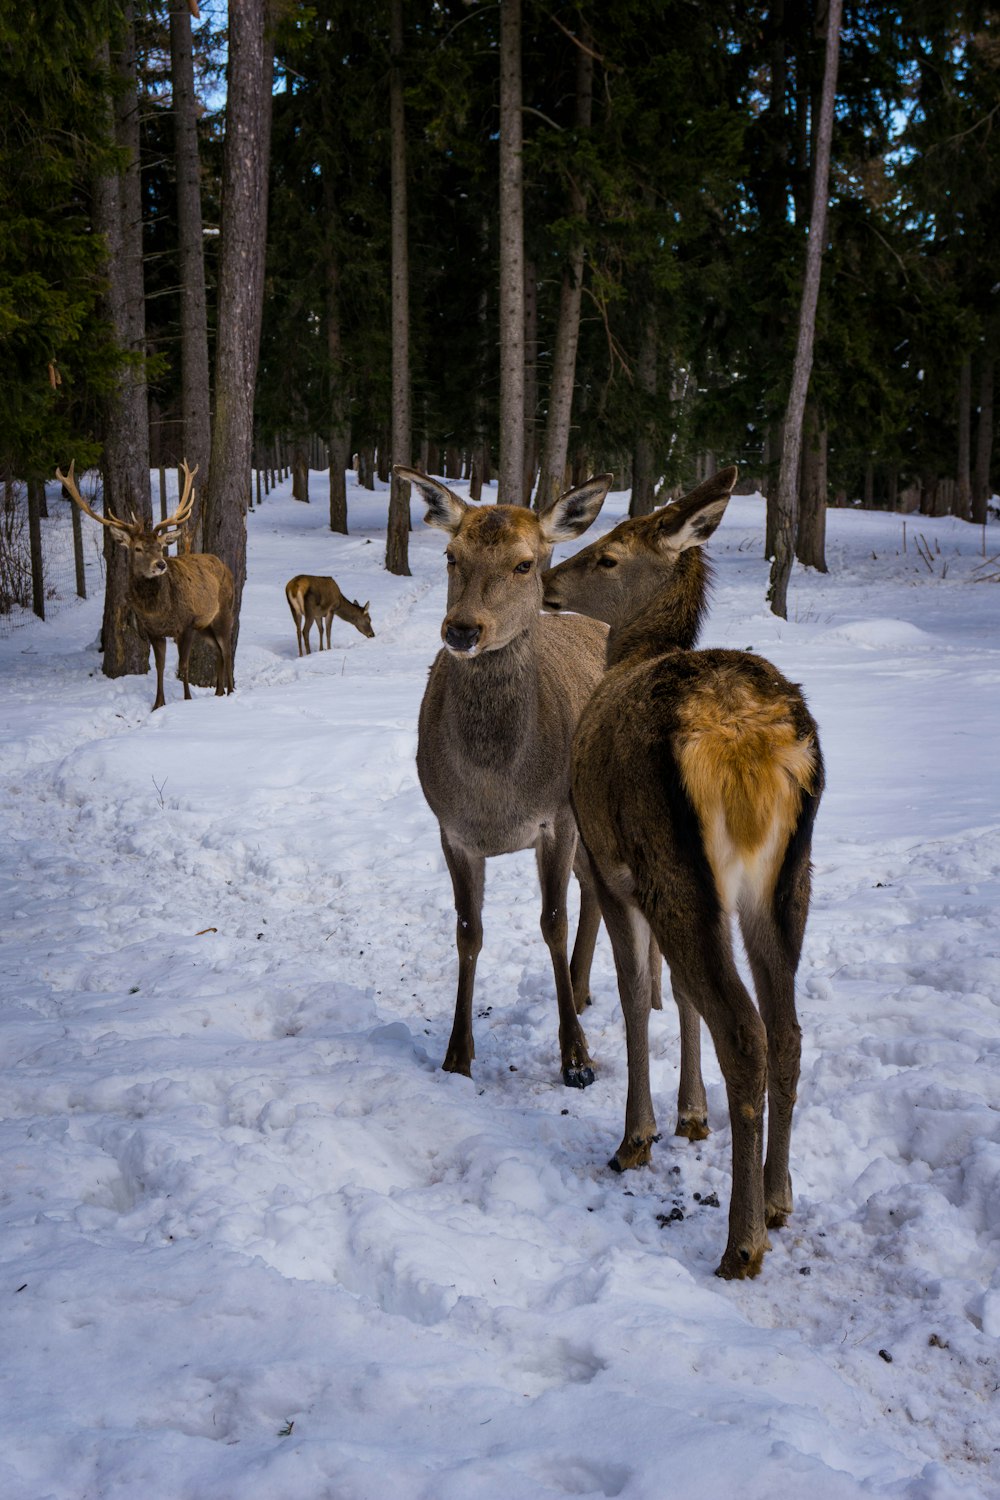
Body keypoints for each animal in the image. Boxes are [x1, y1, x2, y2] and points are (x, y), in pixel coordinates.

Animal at [56, 459, 235, 711]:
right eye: (138, 548)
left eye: (160, 546)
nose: (160, 564)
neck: (158, 611)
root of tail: (225, 566)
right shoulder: (154, 631)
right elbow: (160, 667)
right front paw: (157, 704)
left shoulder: (187, 624)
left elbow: (184, 666)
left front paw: (187, 701)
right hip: (205, 625)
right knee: (219, 651)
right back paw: (219, 692)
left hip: (224, 613)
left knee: (227, 650)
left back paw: (231, 691)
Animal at [395, 465, 614, 1092]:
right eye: (451, 555)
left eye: (524, 563)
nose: (462, 630)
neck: (498, 790)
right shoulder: (451, 828)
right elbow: (468, 932)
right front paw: (457, 1055)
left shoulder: (556, 818)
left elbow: (552, 923)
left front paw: (576, 1060)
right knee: (595, 890)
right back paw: (582, 992)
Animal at [542, 468, 827, 1278]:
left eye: (606, 554)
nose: (546, 580)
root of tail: (749, 744)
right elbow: (684, 999)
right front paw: (690, 1116)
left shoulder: (610, 867)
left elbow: (638, 994)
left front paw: (639, 1135)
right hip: (784, 884)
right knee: (786, 1031)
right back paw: (778, 1197)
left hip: (673, 868)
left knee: (747, 1033)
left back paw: (742, 1241)